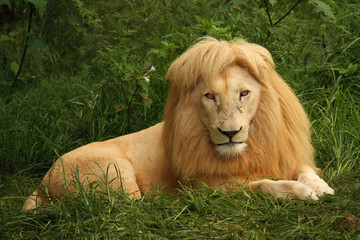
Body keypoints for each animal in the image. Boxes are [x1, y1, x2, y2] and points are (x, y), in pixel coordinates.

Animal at [21, 37, 334, 210]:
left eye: (244, 93)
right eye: (209, 96)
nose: (230, 133)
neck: (254, 142)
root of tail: (42, 182)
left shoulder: (285, 156)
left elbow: (305, 169)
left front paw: (320, 186)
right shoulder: (207, 186)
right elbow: (263, 185)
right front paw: (302, 192)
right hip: (115, 173)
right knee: (134, 208)